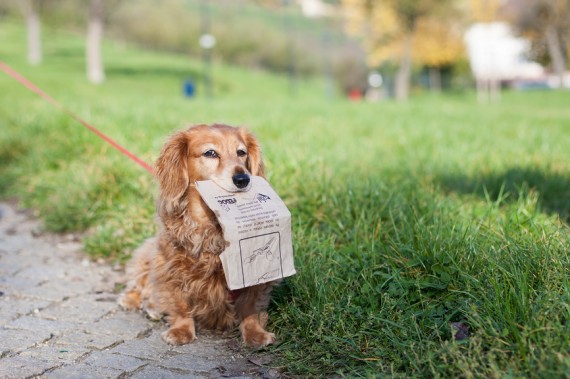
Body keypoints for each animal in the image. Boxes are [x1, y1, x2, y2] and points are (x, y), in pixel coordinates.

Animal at [119, 124, 278, 348]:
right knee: (140, 285)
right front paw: (181, 330)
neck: (211, 224)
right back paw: (136, 302)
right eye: (210, 153)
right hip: (147, 255)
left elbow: (250, 306)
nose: (243, 179)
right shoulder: (170, 266)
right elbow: (179, 304)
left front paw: (255, 333)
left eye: (241, 152)